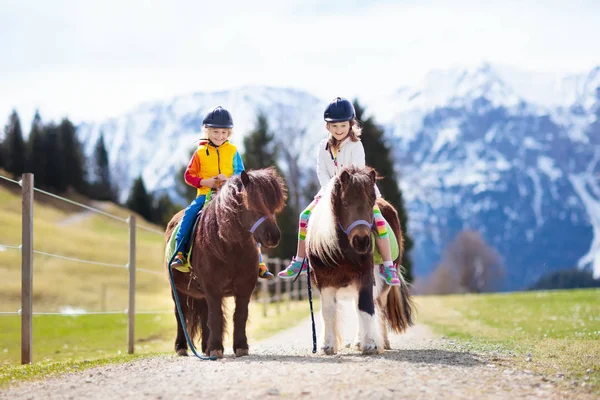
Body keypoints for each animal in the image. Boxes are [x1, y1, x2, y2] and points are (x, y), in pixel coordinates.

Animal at [164, 167, 286, 358]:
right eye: (252, 204)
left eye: (274, 206)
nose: (273, 236)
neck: (230, 248)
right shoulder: (212, 287)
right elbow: (216, 315)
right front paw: (216, 347)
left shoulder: (245, 287)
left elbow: (239, 314)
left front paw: (240, 346)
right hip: (177, 289)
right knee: (180, 313)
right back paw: (182, 347)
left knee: (204, 314)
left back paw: (206, 348)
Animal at [308, 165, 414, 354]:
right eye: (345, 203)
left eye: (371, 203)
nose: (362, 241)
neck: (342, 253)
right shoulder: (324, 280)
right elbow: (328, 311)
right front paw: (328, 345)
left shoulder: (365, 277)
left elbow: (366, 308)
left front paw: (370, 344)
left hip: (383, 284)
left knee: (378, 306)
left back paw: (382, 341)